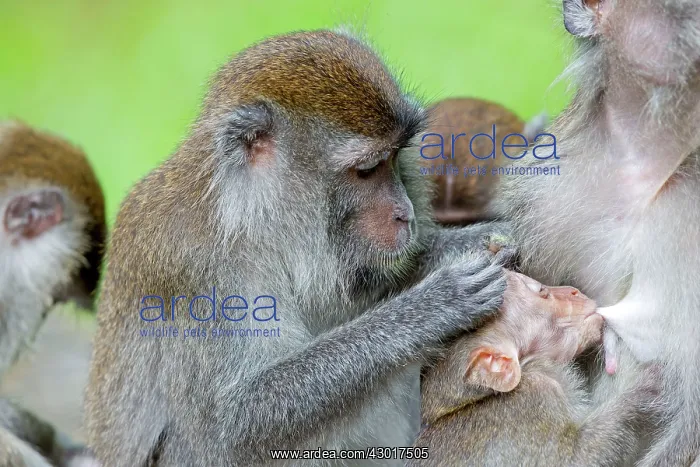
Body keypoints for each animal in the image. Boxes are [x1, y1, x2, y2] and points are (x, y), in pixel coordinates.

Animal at [85, 30, 511, 466]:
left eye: (395, 157)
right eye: (367, 169)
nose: (404, 214)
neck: (250, 221)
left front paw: (477, 241)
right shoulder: (202, 275)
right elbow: (237, 423)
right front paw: (435, 305)